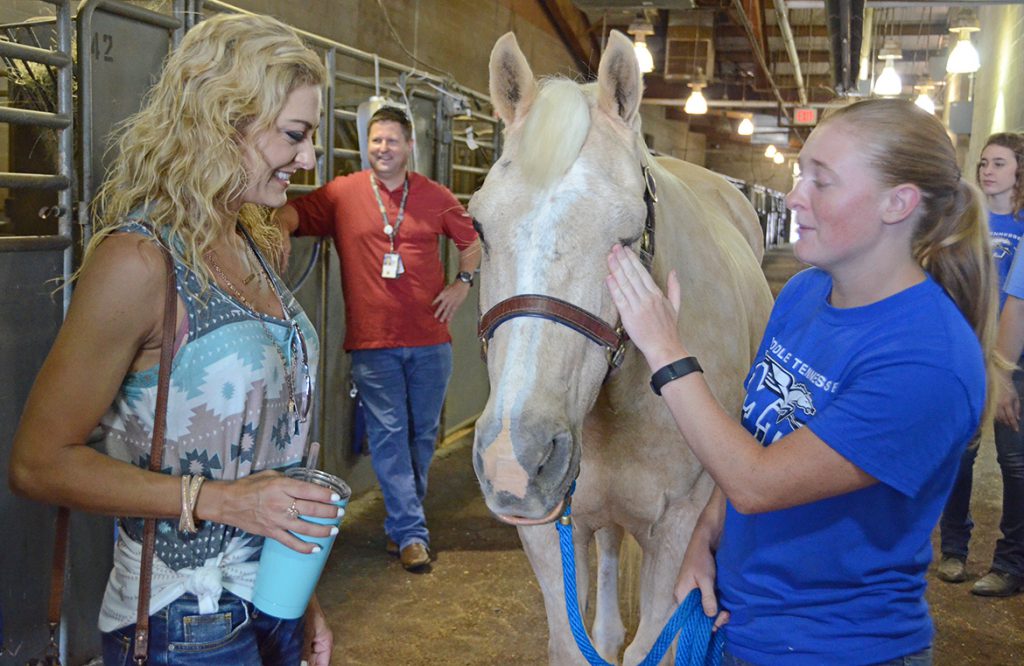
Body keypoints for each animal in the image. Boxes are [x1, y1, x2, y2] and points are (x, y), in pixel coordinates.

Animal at [469, 31, 774, 665]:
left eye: (628, 235)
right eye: (479, 226)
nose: (514, 458)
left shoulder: (679, 528)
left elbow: (653, 645)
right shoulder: (548, 532)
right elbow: (571, 643)